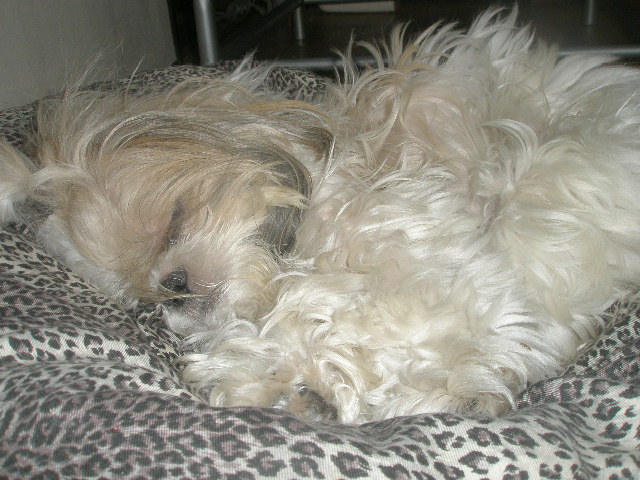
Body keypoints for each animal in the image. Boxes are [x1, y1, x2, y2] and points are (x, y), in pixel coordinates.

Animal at [2, 8, 640, 423]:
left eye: (175, 221)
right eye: (142, 296)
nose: (175, 286)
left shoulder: (452, 273)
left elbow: (354, 320)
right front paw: (278, 382)